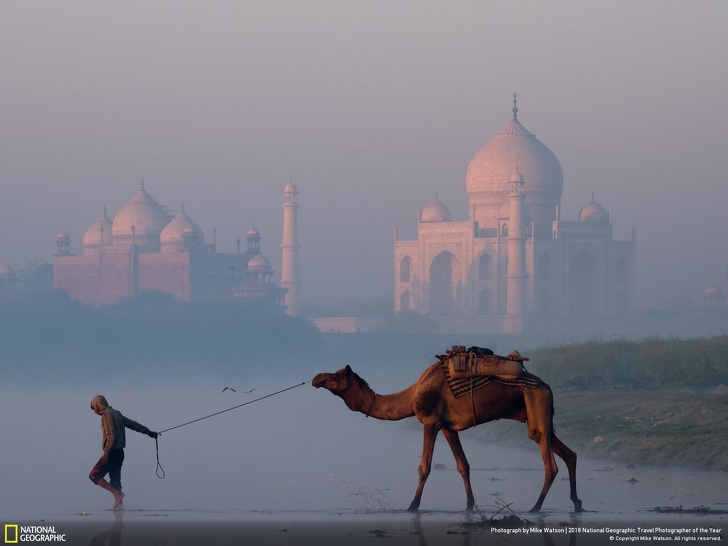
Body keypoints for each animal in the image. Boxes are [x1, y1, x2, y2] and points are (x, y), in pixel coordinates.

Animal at [310, 362, 584, 510]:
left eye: (335, 376)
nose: (316, 378)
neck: (412, 395)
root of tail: (548, 387)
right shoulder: (448, 427)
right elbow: (463, 465)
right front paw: (470, 506)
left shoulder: (430, 421)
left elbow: (424, 466)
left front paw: (412, 506)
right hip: (535, 413)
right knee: (569, 453)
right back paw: (576, 502)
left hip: (536, 403)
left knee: (549, 461)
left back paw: (536, 508)